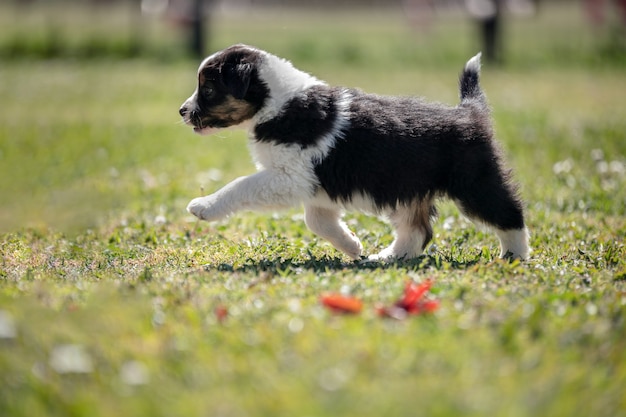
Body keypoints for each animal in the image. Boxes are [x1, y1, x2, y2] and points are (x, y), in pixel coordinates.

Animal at [178, 44, 528, 260]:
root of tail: (468, 111)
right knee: (417, 230)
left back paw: (514, 257)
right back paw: (387, 257)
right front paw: (352, 246)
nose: (182, 111)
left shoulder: (289, 176)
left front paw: (203, 207)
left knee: (509, 214)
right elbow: (316, 221)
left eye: (208, 89)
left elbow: (240, 185)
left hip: (474, 183)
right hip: (408, 189)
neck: (278, 104)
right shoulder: (312, 185)